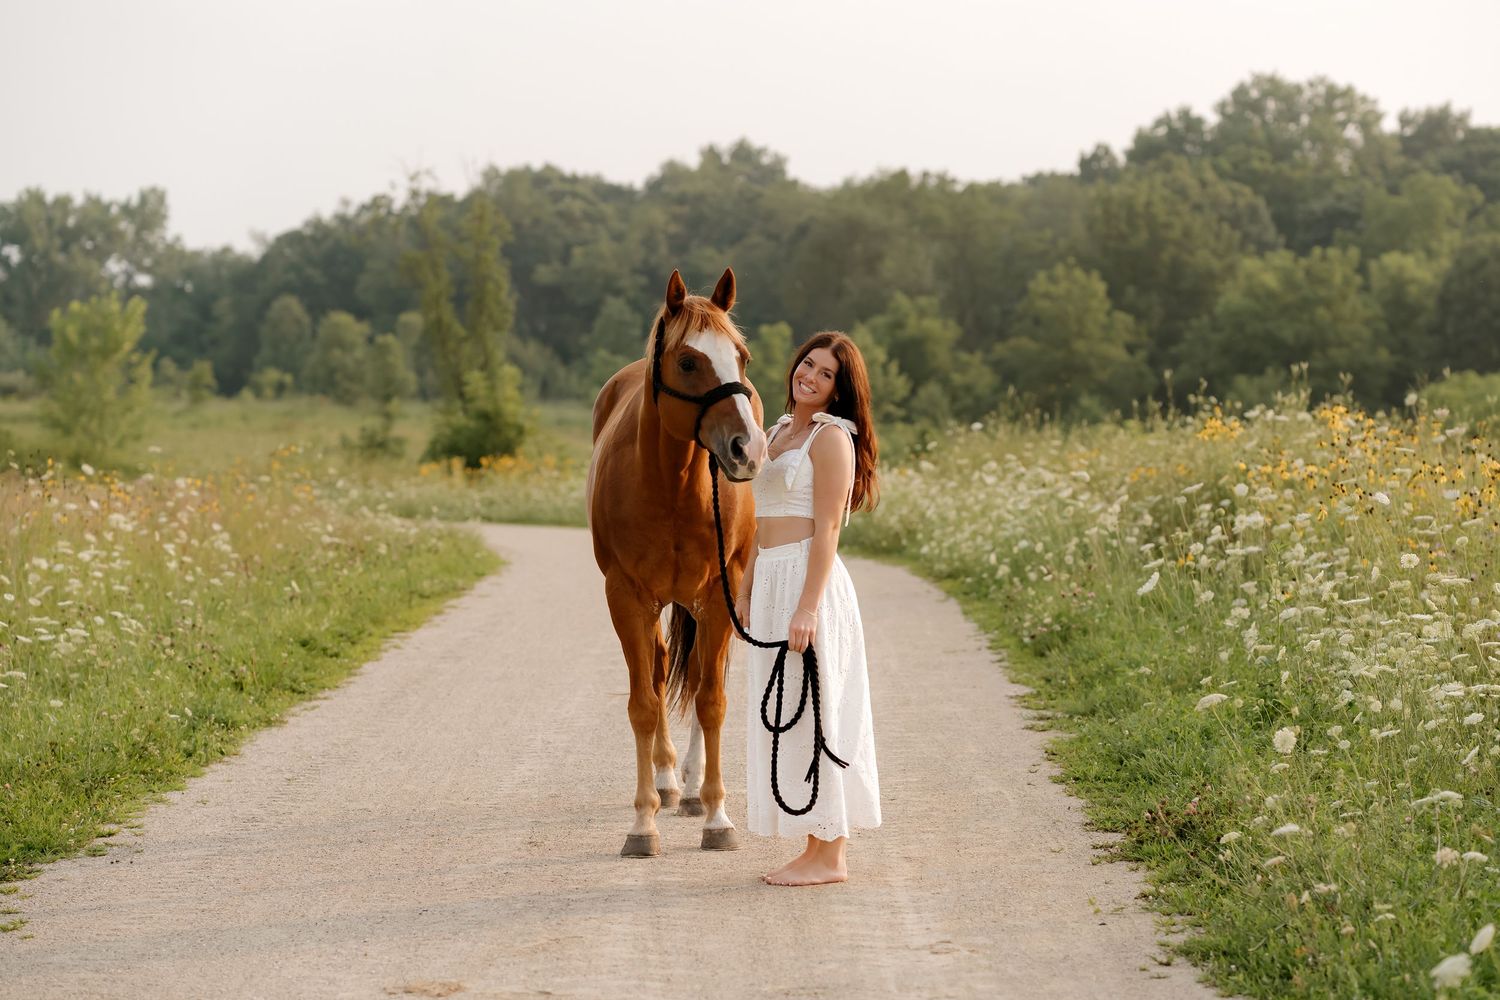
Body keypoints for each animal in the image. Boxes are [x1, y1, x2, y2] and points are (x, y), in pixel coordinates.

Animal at [586, 267, 768, 857]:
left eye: (741, 357)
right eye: (688, 362)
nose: (747, 449)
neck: (671, 485)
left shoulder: (717, 594)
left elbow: (711, 701)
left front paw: (717, 816)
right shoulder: (626, 596)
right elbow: (644, 702)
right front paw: (642, 824)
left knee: (702, 673)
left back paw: (689, 789)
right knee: (664, 666)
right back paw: (668, 781)